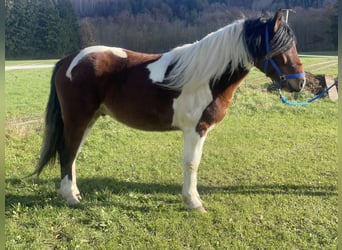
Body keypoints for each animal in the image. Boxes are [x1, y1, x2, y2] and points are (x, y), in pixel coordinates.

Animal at [33, 10, 304, 213]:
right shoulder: (196, 130)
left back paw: (74, 192)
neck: (207, 77)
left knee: (73, 154)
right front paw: (193, 202)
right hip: (77, 119)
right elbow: (191, 164)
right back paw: (70, 197)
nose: (299, 83)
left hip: (88, 120)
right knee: (68, 152)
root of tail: (68, 60)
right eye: (282, 47)